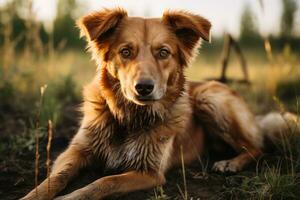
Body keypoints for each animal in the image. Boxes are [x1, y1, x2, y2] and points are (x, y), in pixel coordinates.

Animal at [22, 7, 298, 200]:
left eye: (163, 53)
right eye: (125, 52)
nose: (144, 87)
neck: (128, 117)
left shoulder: (150, 172)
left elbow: (104, 182)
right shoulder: (76, 151)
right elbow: (54, 178)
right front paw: (32, 195)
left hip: (209, 98)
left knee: (257, 148)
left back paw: (230, 163)